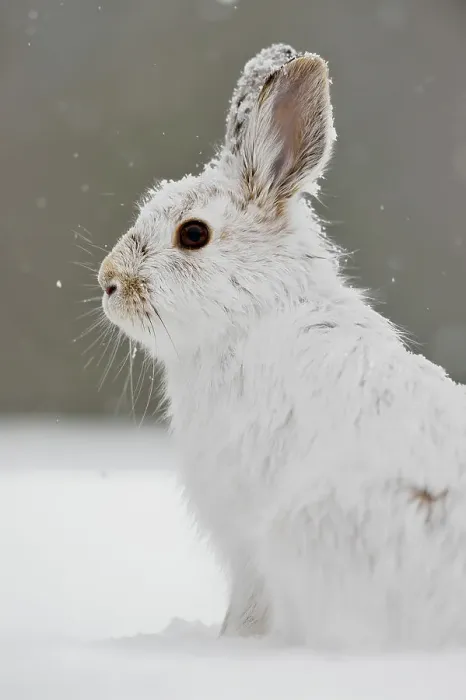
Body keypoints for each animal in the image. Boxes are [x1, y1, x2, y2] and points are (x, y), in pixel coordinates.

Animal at [98, 45, 466, 651]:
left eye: (193, 234)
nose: (108, 282)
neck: (254, 312)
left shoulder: (244, 537)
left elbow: (247, 604)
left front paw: (230, 643)